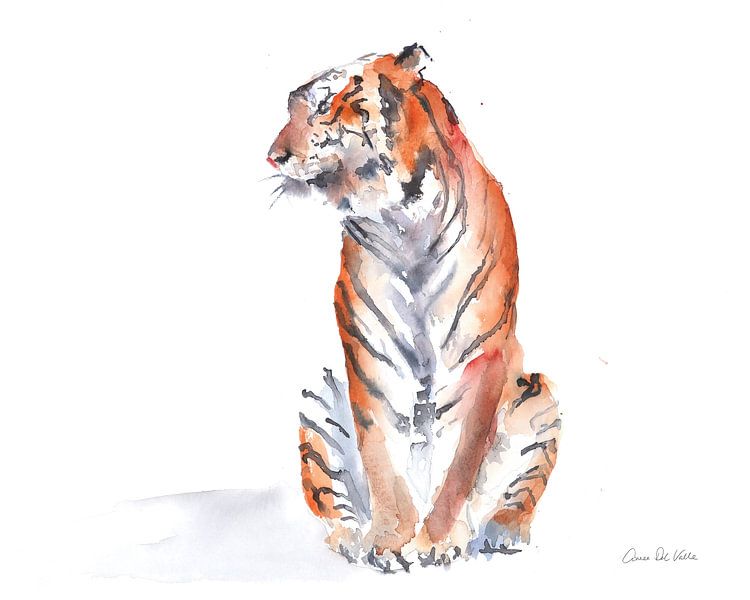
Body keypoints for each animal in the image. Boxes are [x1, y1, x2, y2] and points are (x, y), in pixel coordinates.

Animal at [267, 44, 561, 571]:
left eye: (323, 106)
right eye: (291, 109)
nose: (273, 155)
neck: (403, 227)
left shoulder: (481, 357)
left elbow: (461, 463)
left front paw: (437, 542)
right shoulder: (369, 357)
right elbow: (382, 458)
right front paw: (389, 541)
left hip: (538, 395)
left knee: (516, 496)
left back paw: (501, 533)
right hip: (317, 400)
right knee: (332, 502)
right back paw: (351, 538)